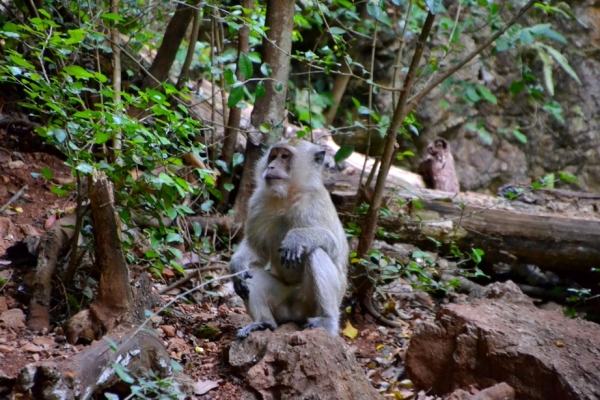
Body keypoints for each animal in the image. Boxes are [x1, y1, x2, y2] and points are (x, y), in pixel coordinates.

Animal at [232, 138, 350, 338]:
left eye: (285, 156)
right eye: (273, 156)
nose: (271, 166)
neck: (288, 195)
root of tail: (293, 314)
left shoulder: (315, 203)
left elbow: (334, 245)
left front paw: (296, 238)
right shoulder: (258, 200)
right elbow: (256, 249)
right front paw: (236, 266)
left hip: (311, 303)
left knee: (316, 252)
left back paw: (328, 321)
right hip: (282, 302)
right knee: (252, 272)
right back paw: (263, 322)